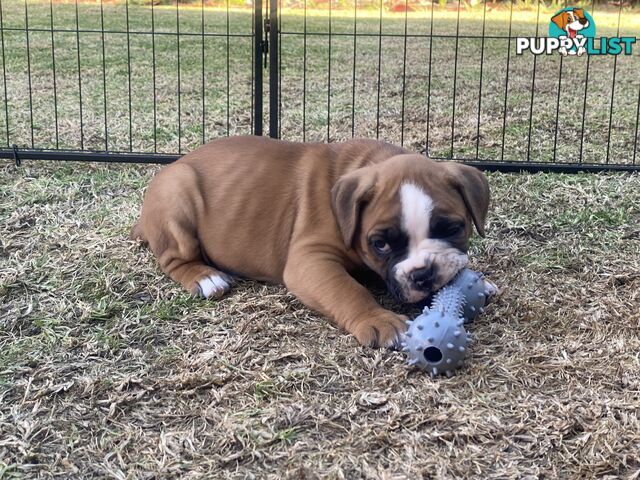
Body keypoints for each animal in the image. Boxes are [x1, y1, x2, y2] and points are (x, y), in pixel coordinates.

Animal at [131, 137, 490, 346]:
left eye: (452, 228)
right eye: (381, 245)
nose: (423, 274)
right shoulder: (310, 259)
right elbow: (348, 290)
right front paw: (378, 320)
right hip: (178, 194)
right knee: (174, 258)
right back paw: (205, 278)